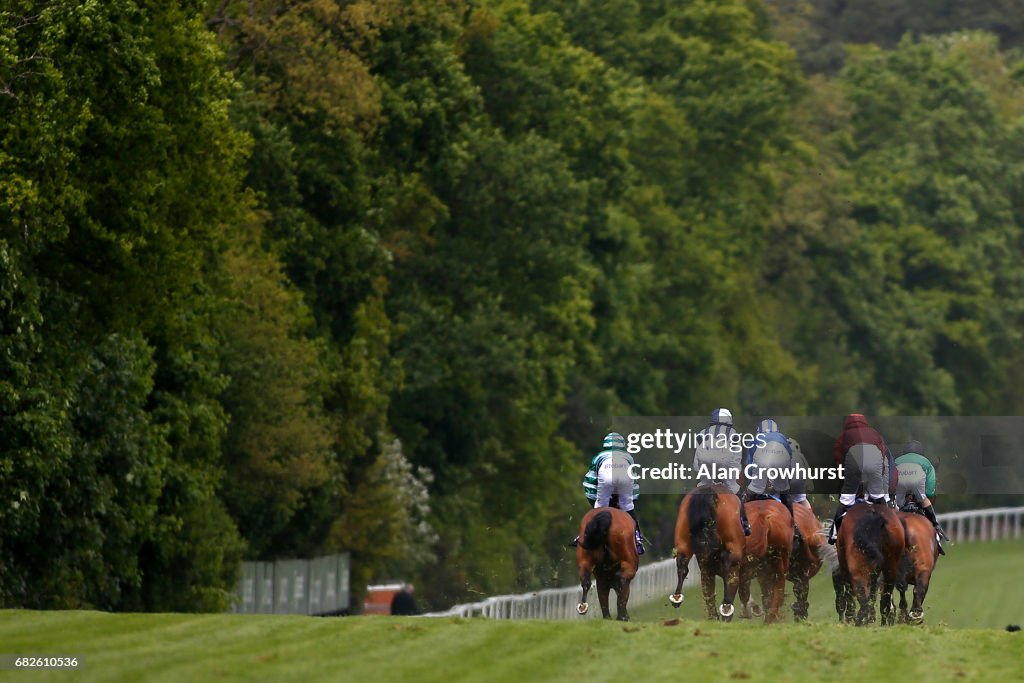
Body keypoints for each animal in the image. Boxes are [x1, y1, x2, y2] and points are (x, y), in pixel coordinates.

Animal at [667, 483, 741, 622]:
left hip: (683, 539)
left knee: (682, 564)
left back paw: (677, 597)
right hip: (734, 548)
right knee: (725, 564)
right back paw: (726, 607)